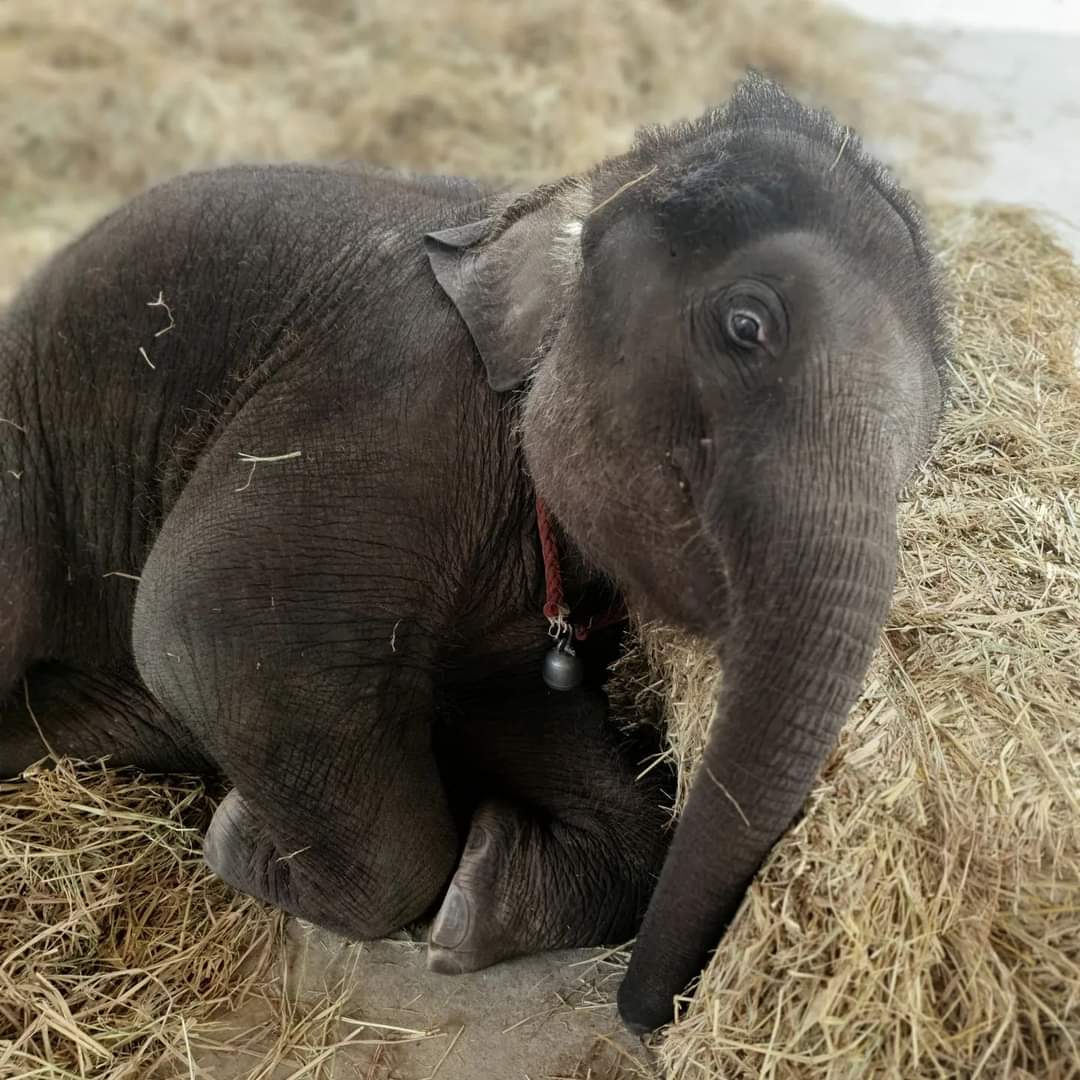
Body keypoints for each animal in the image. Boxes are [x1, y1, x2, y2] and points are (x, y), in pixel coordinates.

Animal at [0, 71, 946, 1032]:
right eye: (746, 325)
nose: (646, 1015)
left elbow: (528, 720)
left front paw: (480, 889)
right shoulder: (393, 391)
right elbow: (212, 629)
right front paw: (235, 836)